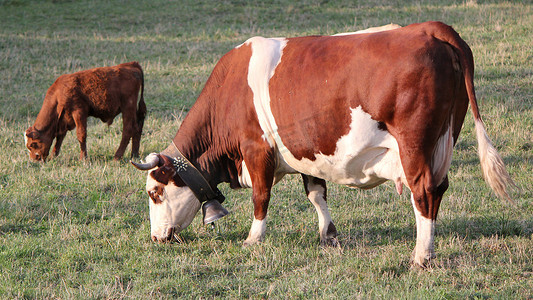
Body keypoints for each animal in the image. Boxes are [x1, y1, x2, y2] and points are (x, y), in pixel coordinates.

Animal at [132, 22, 512, 266]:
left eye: (155, 193)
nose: (155, 237)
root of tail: (431, 27)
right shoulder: (305, 152)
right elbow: (316, 193)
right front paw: (328, 235)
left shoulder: (257, 149)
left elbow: (261, 197)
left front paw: (253, 239)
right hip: (444, 141)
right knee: (440, 188)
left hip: (414, 145)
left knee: (424, 192)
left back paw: (421, 256)